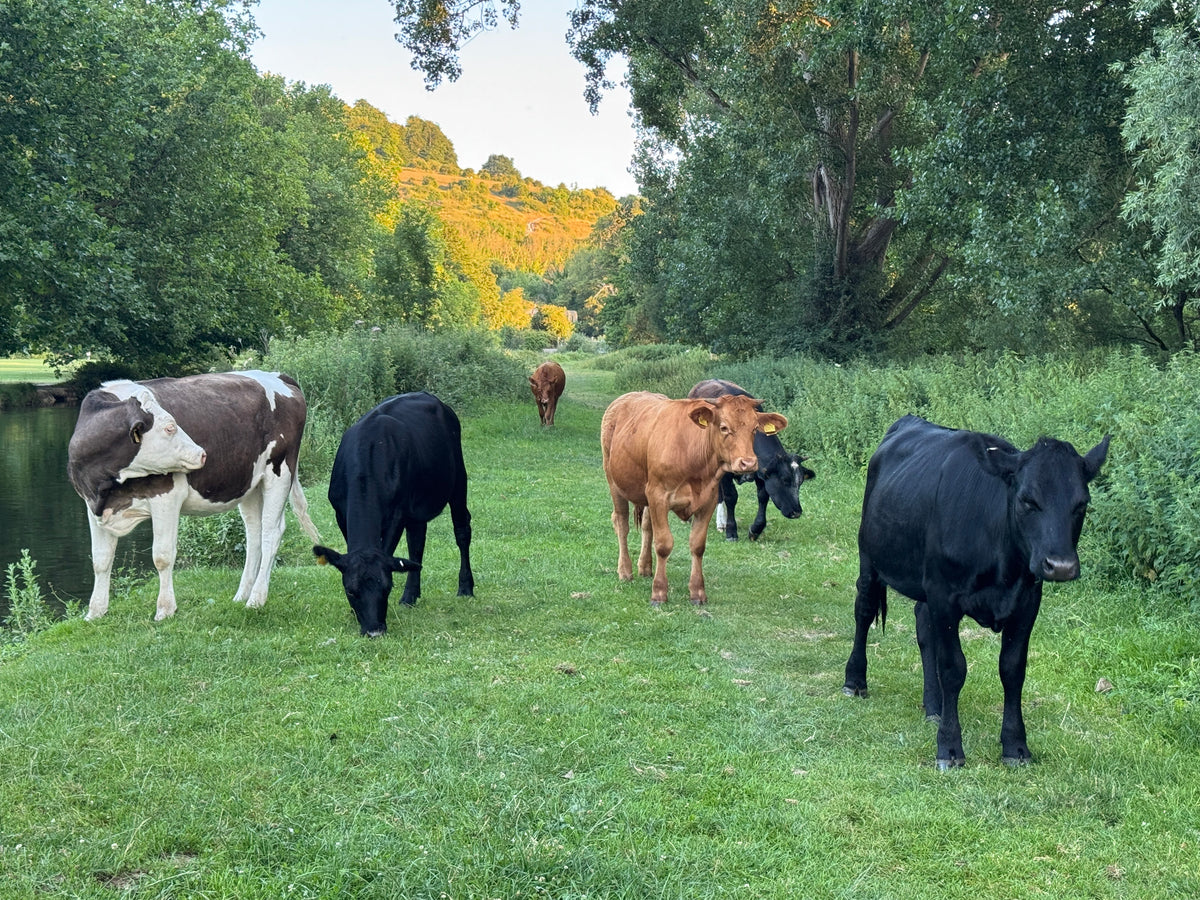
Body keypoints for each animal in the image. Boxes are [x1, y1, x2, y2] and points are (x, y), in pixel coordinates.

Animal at [67, 371, 321, 622]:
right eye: (170, 427)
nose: (202, 453)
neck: (105, 488)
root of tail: (277, 376)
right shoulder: (93, 506)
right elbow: (100, 559)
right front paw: (95, 612)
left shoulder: (166, 497)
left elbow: (162, 555)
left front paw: (165, 609)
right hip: (249, 482)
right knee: (254, 534)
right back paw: (242, 595)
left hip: (280, 470)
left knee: (271, 533)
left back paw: (256, 599)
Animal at [313, 392, 473, 636]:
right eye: (350, 591)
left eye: (387, 587)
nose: (374, 631)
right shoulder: (340, 513)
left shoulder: (397, 513)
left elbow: (387, 550)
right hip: (417, 509)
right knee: (416, 544)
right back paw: (410, 596)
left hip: (458, 481)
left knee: (462, 531)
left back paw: (465, 587)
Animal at [600, 390, 788, 605]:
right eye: (724, 427)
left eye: (755, 429)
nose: (747, 463)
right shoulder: (658, 496)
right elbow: (663, 544)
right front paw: (659, 593)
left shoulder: (707, 501)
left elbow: (697, 545)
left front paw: (697, 592)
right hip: (614, 481)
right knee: (621, 523)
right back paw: (625, 571)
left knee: (647, 527)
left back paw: (645, 567)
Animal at [687, 379, 815, 541]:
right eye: (784, 480)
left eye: (801, 482)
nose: (796, 512)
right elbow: (731, 496)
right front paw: (731, 531)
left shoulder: (760, 472)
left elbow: (763, 496)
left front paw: (756, 529)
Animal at [842, 415, 1110, 769]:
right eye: (1027, 500)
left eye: (1082, 504)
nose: (1061, 566)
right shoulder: (944, 596)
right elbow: (953, 668)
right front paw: (949, 748)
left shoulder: (1027, 602)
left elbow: (1012, 669)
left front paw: (1016, 746)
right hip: (869, 558)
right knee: (864, 610)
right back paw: (855, 681)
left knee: (923, 625)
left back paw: (934, 706)